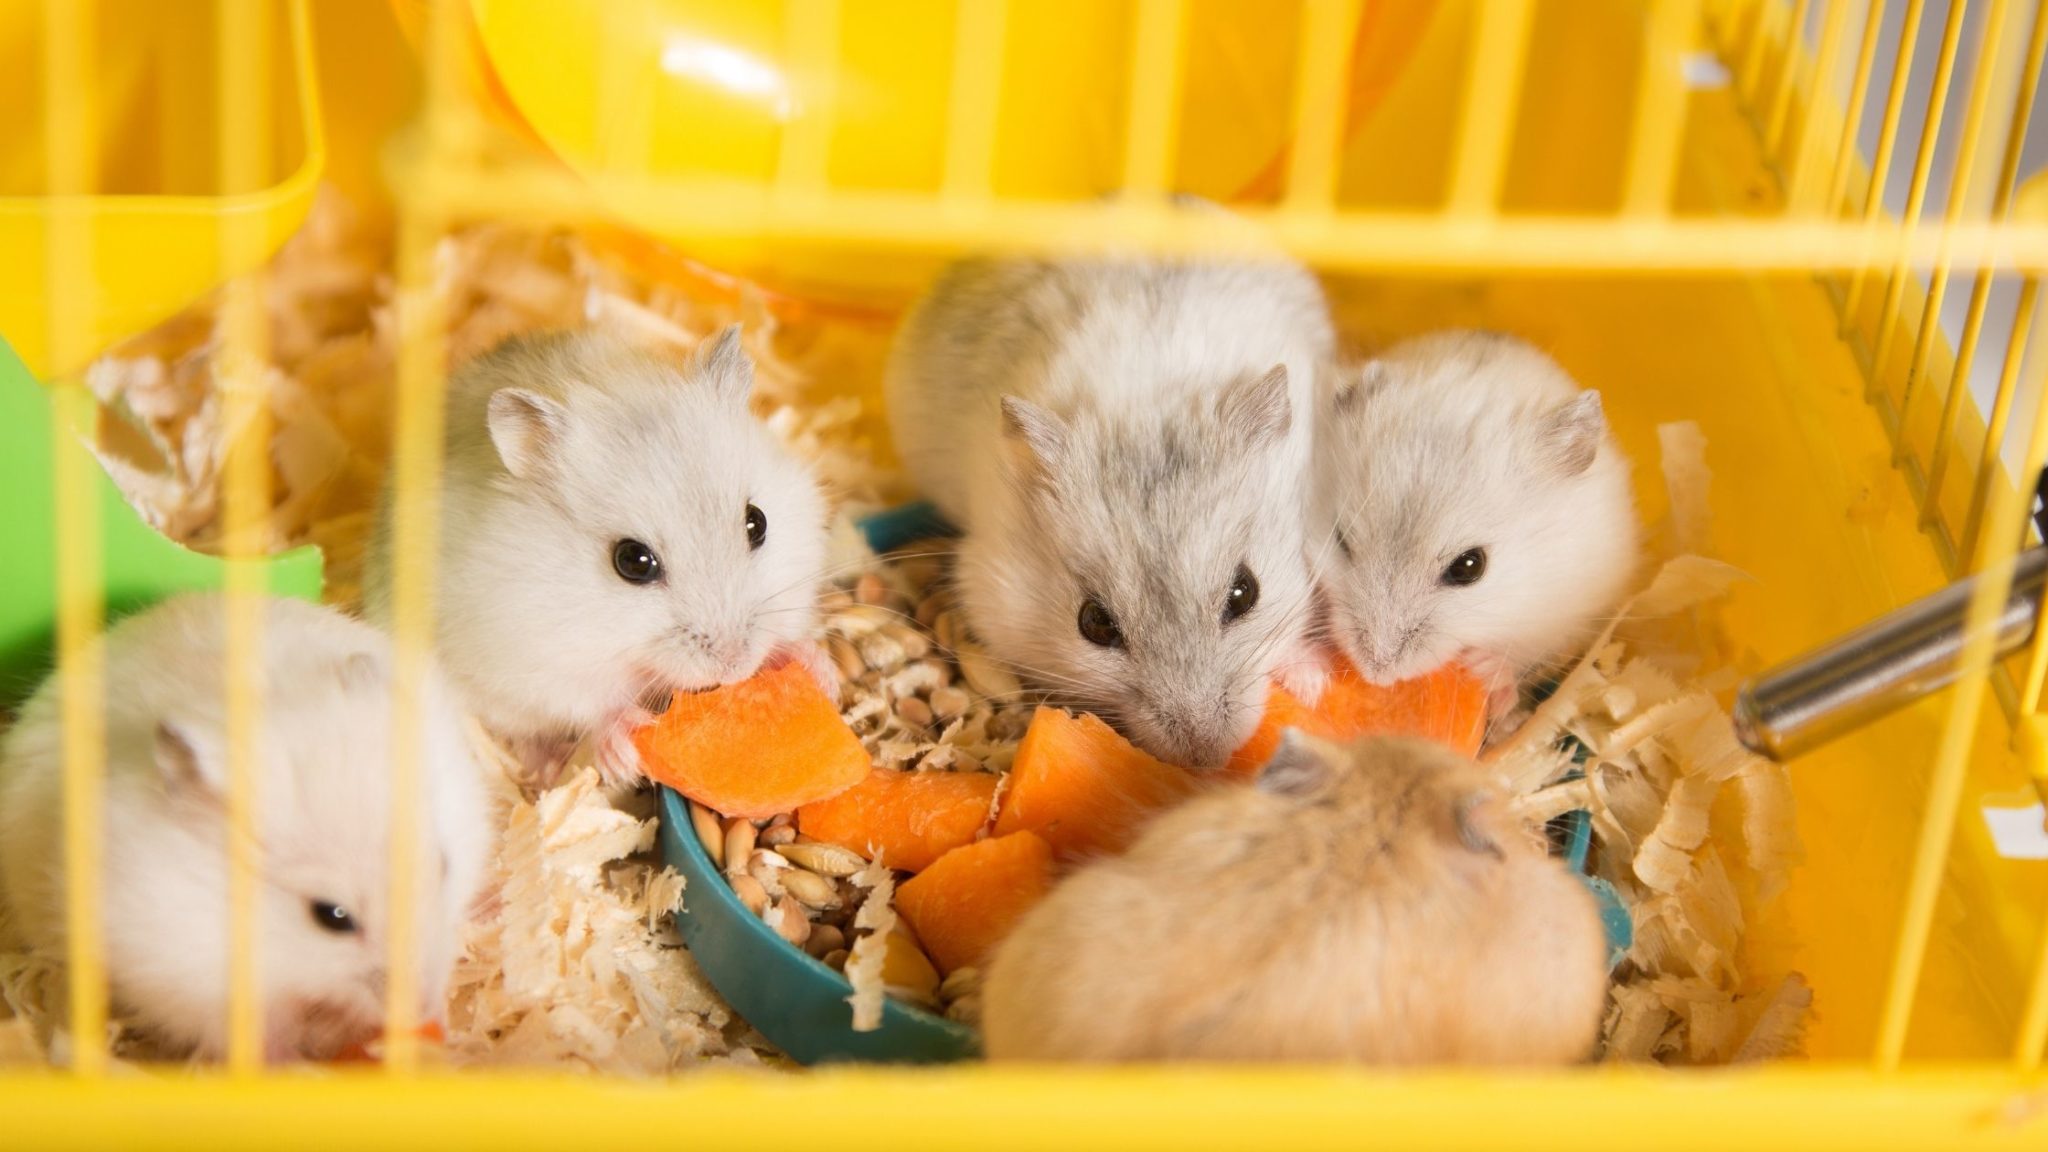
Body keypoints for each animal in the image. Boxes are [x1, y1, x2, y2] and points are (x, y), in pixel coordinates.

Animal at [364, 326, 831, 785]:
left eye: (757, 522)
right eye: (632, 561)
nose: (735, 665)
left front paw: (818, 668)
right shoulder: (541, 661)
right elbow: (595, 702)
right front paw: (623, 752)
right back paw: (548, 768)